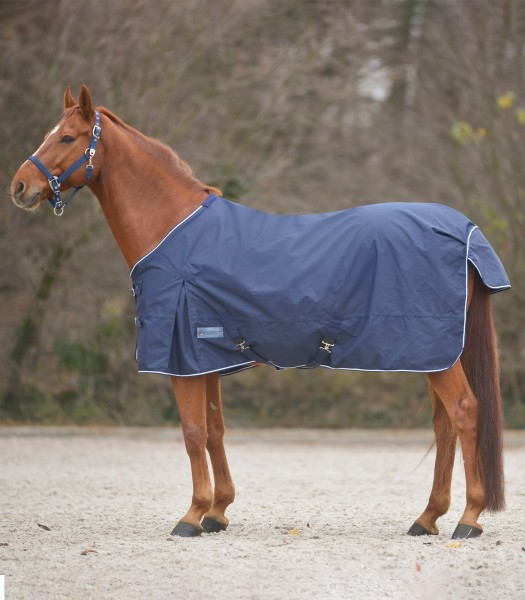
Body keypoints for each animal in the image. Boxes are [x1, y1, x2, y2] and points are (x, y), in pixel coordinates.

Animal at [11, 84, 504, 540]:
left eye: (68, 137)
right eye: (50, 133)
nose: (19, 186)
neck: (173, 231)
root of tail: (464, 232)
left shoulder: (181, 358)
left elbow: (192, 433)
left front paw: (191, 516)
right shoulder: (205, 358)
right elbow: (214, 430)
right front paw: (217, 511)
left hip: (434, 353)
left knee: (464, 413)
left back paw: (469, 518)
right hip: (434, 355)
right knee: (443, 425)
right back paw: (428, 517)